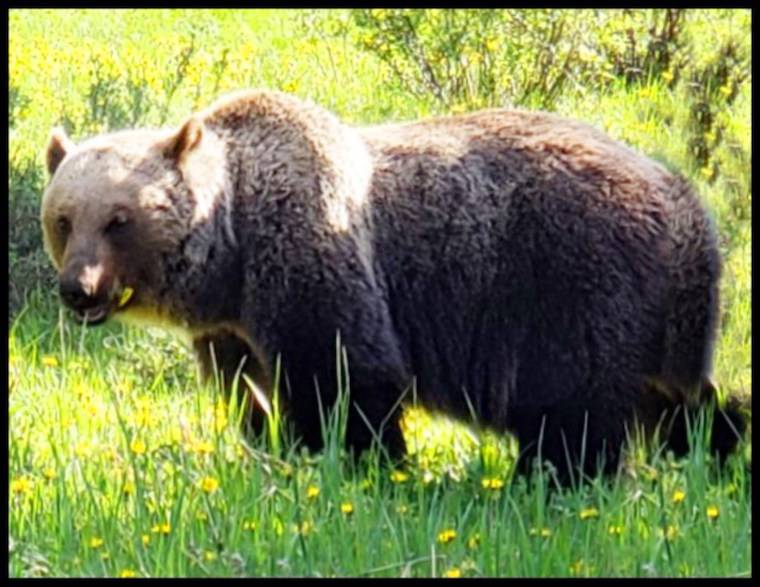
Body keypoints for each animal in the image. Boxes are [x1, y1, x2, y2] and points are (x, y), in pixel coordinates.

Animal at [41, 89, 745, 483]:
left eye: (119, 219)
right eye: (64, 219)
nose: (79, 289)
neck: (232, 255)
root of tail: (687, 204)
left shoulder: (315, 258)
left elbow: (347, 377)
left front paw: (358, 466)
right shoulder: (230, 326)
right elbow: (248, 390)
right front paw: (268, 441)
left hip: (573, 286)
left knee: (574, 414)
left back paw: (547, 484)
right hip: (661, 321)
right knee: (682, 402)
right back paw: (723, 458)